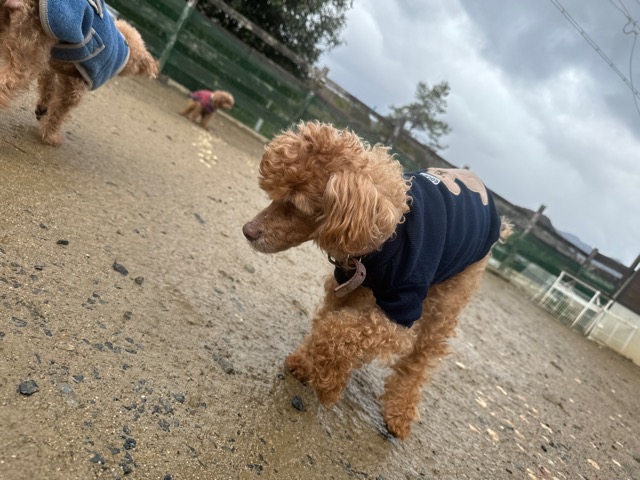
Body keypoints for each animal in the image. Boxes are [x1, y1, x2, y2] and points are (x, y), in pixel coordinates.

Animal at [0, 0, 158, 145]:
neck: (124, 46)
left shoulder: (49, 63)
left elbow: (48, 86)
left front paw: (43, 108)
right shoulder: (76, 86)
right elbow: (59, 112)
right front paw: (51, 135)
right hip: (26, 55)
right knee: (6, 83)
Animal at [242, 121, 511, 439]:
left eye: (296, 205)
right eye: (275, 193)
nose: (247, 231)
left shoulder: (399, 314)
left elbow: (335, 332)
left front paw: (328, 385)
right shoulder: (346, 287)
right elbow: (330, 326)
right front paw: (307, 363)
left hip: (451, 296)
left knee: (421, 358)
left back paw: (399, 411)